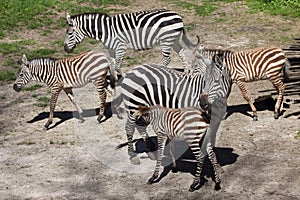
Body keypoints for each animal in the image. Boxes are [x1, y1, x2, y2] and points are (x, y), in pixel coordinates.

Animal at [63, 9, 199, 73]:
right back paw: (186, 72)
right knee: (182, 53)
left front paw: (122, 78)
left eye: (69, 33)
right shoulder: (111, 49)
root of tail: (178, 15)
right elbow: (112, 66)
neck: (106, 30)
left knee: (167, 59)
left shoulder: (121, 47)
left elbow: (117, 66)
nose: (65, 49)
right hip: (173, 40)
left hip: (166, 40)